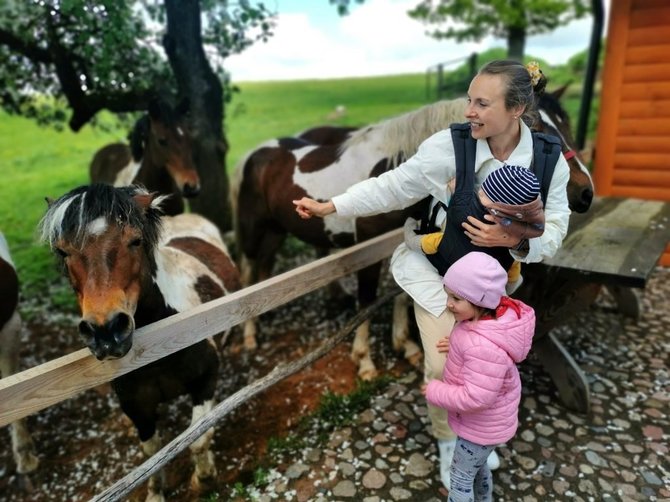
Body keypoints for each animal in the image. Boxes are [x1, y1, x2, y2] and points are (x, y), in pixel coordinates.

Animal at [38, 185, 240, 502]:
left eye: (135, 241)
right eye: (62, 250)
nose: (106, 331)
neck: (161, 347)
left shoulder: (205, 381)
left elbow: (198, 437)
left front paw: (205, 479)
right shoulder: (136, 407)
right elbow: (152, 454)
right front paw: (156, 493)